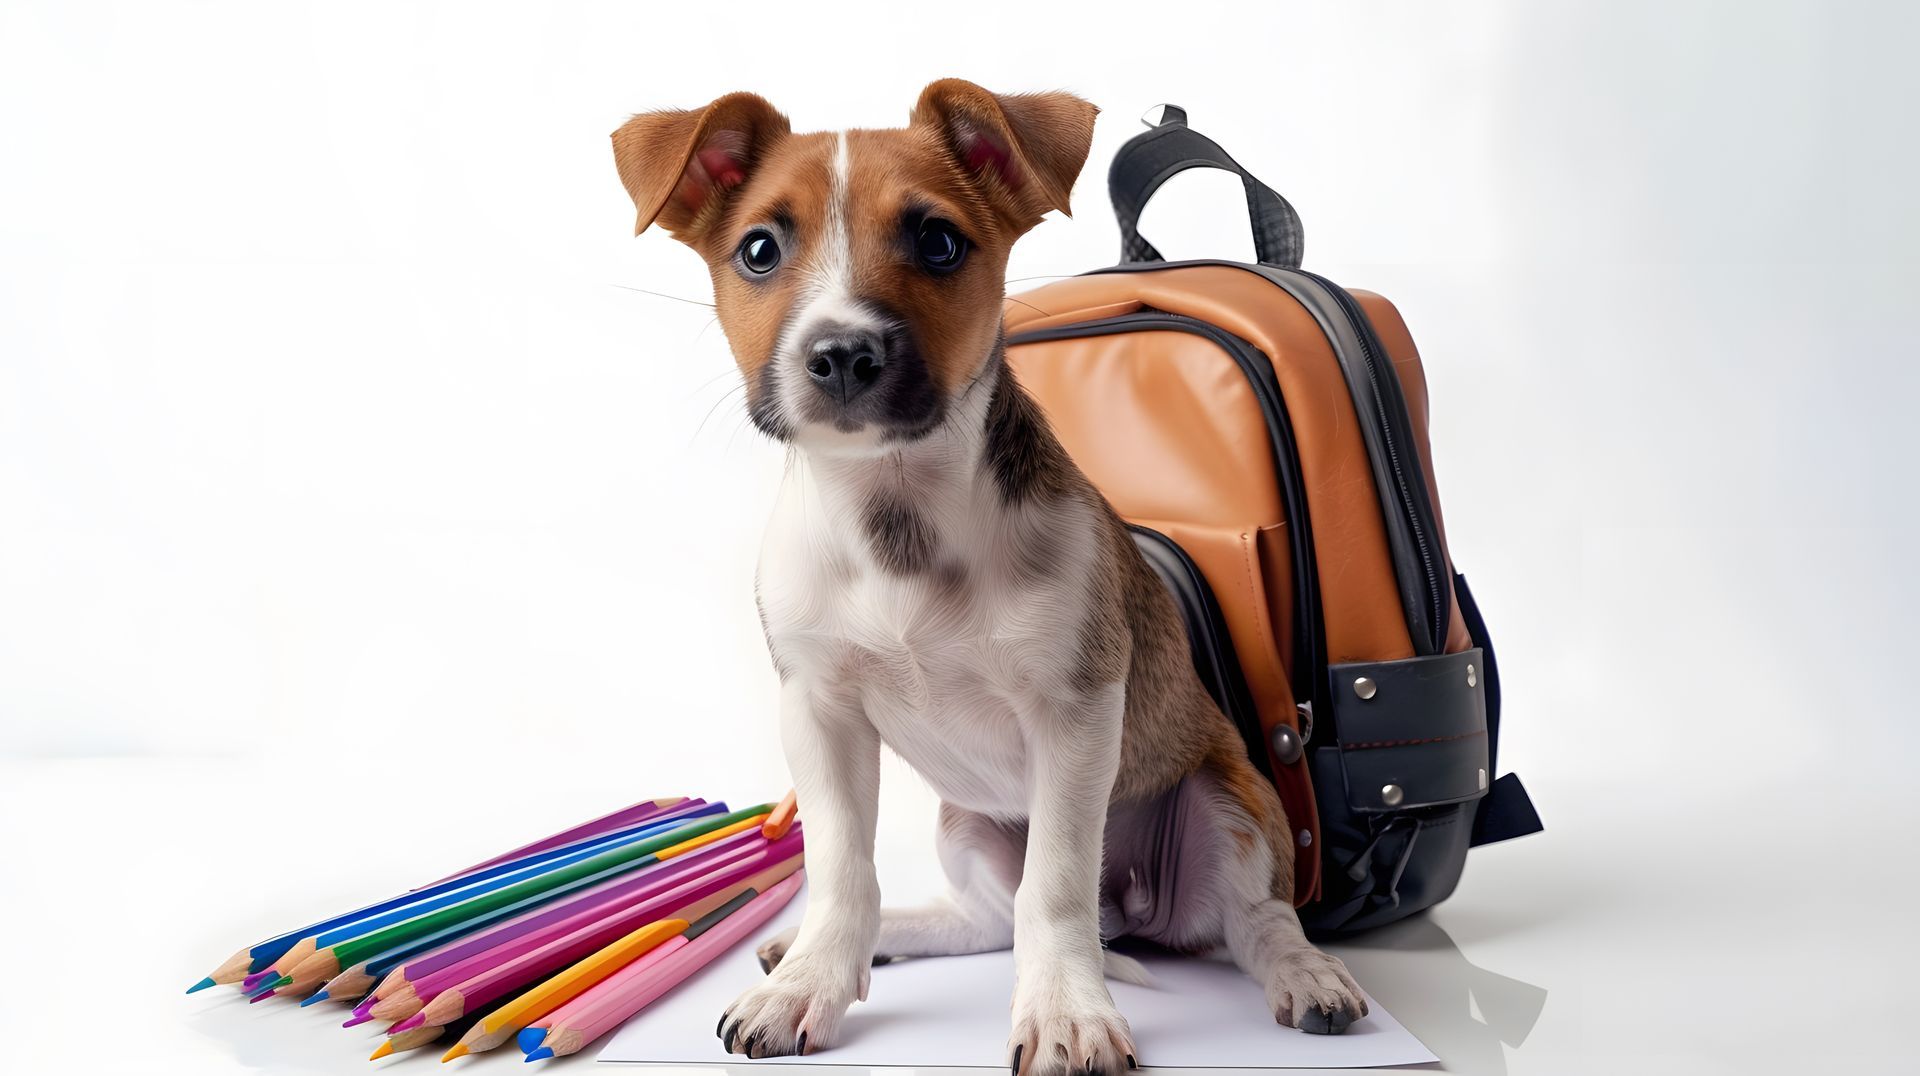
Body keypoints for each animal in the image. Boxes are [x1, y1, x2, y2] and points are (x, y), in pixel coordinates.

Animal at [606, 79, 1374, 1068]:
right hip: (967, 825)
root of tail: (1132, 911)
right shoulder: (818, 712)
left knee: (1252, 920)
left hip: (1231, 808)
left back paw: (1307, 975)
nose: (841, 354)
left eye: (938, 241)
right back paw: (872, 938)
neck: (896, 515)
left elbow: (1056, 885)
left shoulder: (1075, 716)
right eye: (760, 250)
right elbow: (842, 866)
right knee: (985, 920)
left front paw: (1064, 1014)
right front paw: (812, 979)